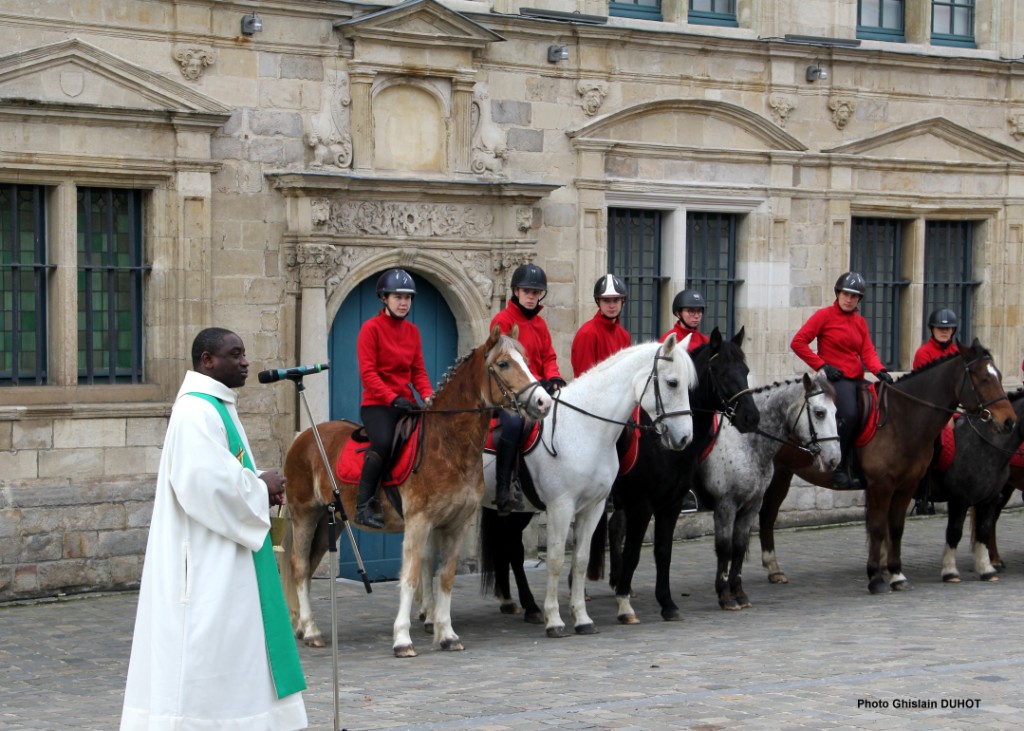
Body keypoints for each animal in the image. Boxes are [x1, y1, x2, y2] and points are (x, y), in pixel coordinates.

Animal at [280, 325, 552, 655]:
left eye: (526, 360)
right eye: (503, 364)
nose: (543, 402)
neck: (448, 444)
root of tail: (303, 437)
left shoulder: (456, 525)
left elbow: (445, 578)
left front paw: (447, 634)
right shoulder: (419, 522)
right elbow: (409, 577)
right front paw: (402, 638)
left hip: (329, 521)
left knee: (308, 567)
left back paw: (303, 627)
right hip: (305, 514)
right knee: (299, 565)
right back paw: (311, 630)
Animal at [479, 333, 696, 634]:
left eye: (689, 386)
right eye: (672, 382)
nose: (685, 438)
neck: (584, 428)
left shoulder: (594, 507)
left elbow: (580, 560)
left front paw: (581, 618)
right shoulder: (562, 507)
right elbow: (557, 559)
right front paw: (555, 620)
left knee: (510, 546)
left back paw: (524, 606)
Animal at [598, 329, 761, 622]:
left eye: (745, 370)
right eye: (721, 373)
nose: (751, 418)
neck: (661, 445)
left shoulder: (671, 504)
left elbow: (664, 552)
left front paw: (667, 603)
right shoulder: (642, 504)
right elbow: (634, 552)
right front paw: (625, 606)